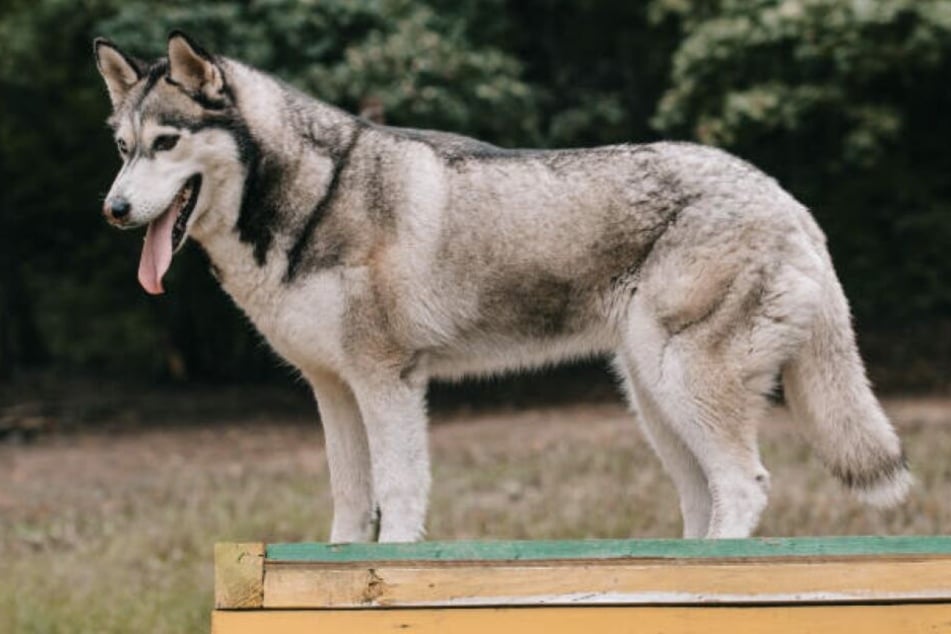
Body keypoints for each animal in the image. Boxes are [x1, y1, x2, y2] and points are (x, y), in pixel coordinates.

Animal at [93, 32, 912, 540]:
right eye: (124, 148)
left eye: (167, 143)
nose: (114, 210)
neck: (313, 198)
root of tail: (789, 201)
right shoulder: (333, 390)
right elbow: (350, 507)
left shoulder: (388, 384)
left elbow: (397, 497)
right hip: (653, 402)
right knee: (704, 498)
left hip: (682, 388)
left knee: (744, 485)